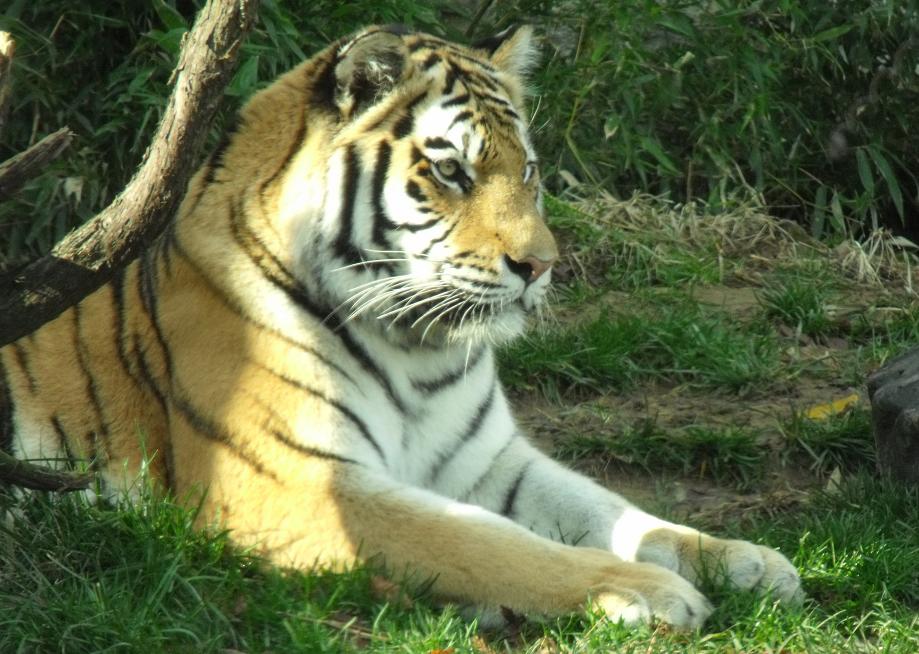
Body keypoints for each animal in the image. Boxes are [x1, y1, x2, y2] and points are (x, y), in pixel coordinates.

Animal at [0, 25, 802, 628]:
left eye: (529, 171)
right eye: (452, 173)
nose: (541, 265)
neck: (419, 348)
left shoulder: (491, 461)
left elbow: (616, 508)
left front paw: (743, 560)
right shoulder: (295, 483)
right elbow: (482, 542)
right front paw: (645, 591)